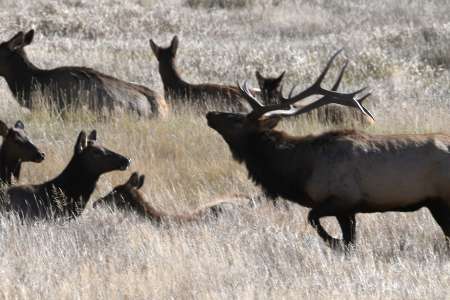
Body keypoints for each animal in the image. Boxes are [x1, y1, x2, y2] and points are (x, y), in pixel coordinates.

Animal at [207, 49, 450, 250]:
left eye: (237, 119)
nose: (210, 114)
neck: (299, 171)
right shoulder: (348, 209)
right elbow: (350, 239)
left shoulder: (342, 199)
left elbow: (314, 218)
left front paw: (334, 242)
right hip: (435, 203)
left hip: (442, 197)